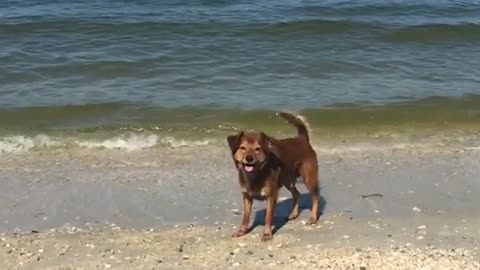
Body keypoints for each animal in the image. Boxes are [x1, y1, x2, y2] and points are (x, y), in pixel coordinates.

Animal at [228, 110, 320, 242]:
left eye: (257, 149)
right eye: (242, 148)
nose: (249, 158)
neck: (256, 174)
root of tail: (302, 139)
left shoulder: (271, 196)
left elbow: (268, 216)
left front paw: (267, 234)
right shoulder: (247, 196)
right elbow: (246, 216)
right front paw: (241, 231)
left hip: (309, 178)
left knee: (315, 196)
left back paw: (313, 218)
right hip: (287, 180)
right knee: (296, 194)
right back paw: (293, 214)